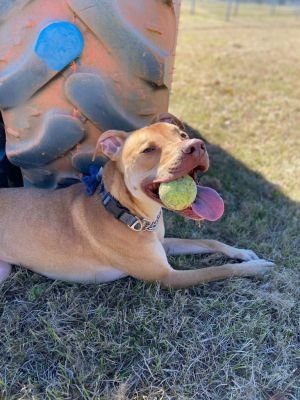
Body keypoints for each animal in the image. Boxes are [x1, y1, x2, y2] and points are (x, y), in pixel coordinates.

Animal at [0, 114, 274, 290]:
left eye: (182, 134)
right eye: (148, 150)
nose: (196, 145)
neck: (127, 212)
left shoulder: (163, 244)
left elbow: (209, 241)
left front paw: (244, 253)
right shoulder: (167, 277)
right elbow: (219, 270)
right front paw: (256, 268)